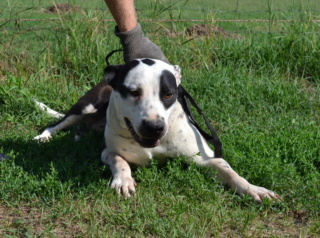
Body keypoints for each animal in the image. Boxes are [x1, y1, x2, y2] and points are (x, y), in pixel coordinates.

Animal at [34, 58, 280, 203]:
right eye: (133, 92)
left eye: (169, 94)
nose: (154, 127)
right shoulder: (108, 151)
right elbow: (119, 160)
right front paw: (124, 181)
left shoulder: (203, 158)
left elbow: (228, 170)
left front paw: (254, 189)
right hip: (85, 105)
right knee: (57, 123)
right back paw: (43, 137)